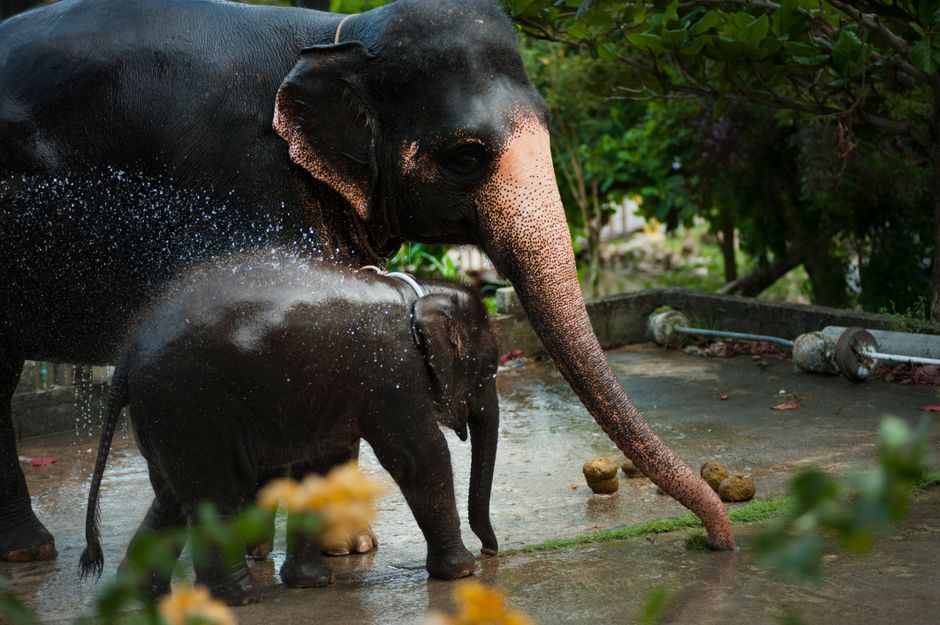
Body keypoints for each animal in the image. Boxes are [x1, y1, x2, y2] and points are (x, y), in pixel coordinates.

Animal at [0, 0, 733, 563]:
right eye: (465, 155)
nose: (717, 539)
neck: (334, 37)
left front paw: (346, 550)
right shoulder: (244, 183)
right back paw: (34, 550)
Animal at [79, 251, 500, 605]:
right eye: (489, 369)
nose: (491, 550)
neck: (415, 294)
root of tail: (126, 358)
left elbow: (321, 466)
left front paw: (311, 582)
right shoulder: (394, 375)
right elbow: (419, 457)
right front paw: (462, 573)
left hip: (168, 417)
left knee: (172, 496)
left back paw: (144, 594)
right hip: (190, 407)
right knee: (216, 493)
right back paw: (241, 598)